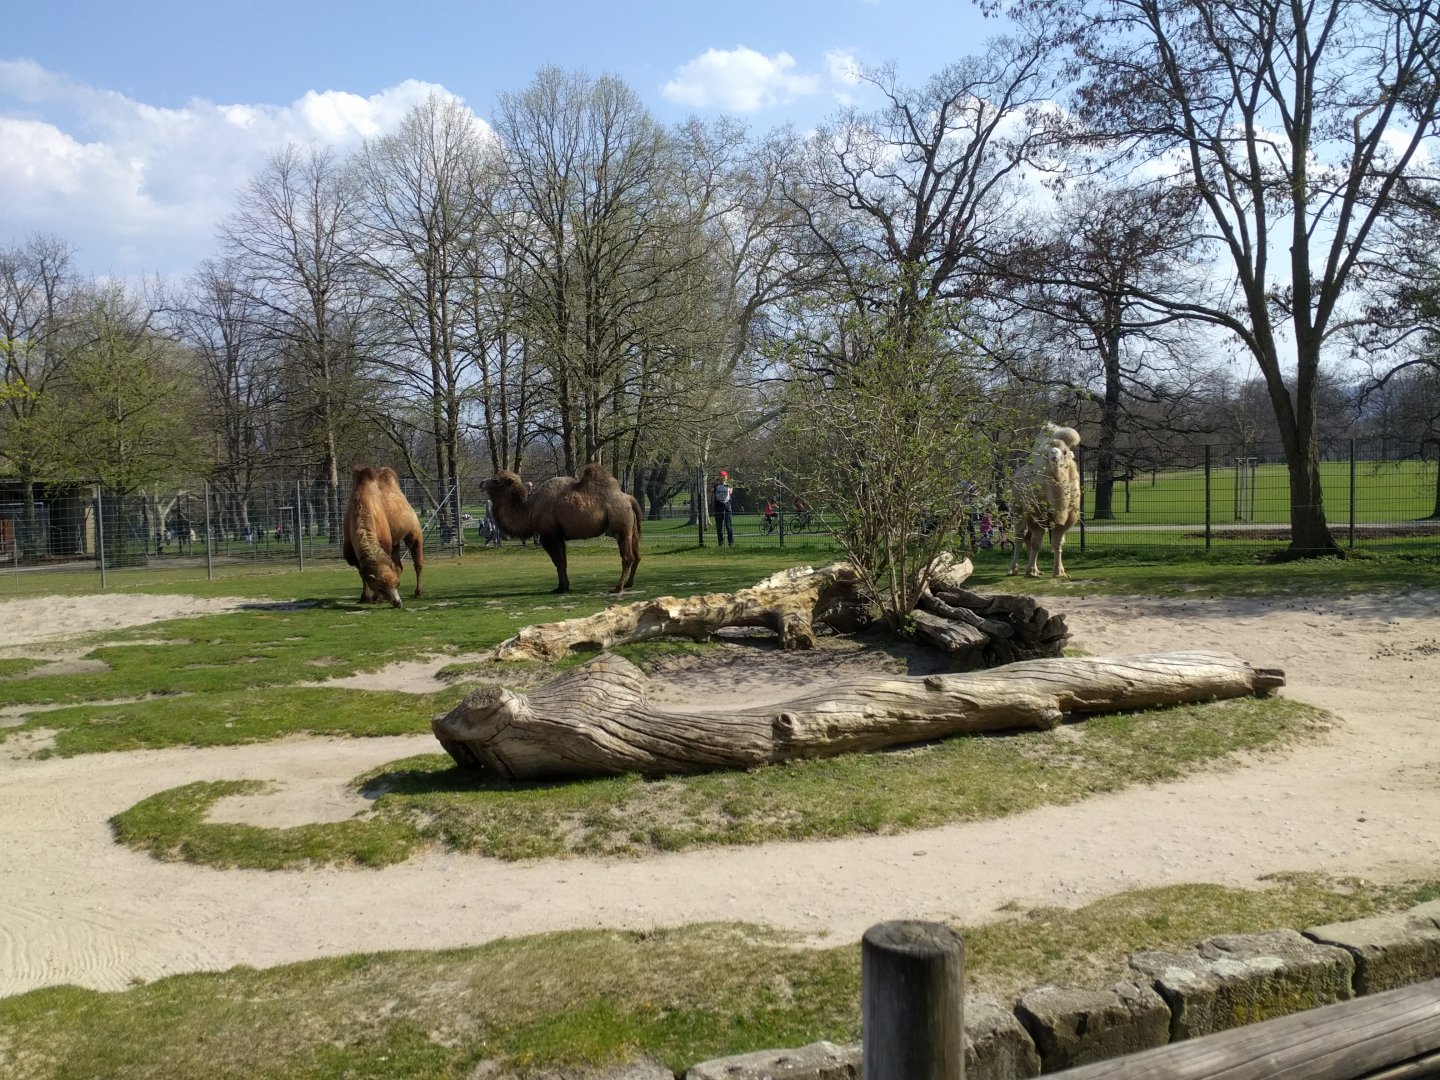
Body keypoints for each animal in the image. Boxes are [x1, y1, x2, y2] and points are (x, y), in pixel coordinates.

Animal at [342, 467, 423, 606]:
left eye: (397, 584)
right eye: (380, 587)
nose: (397, 603)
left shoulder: (385, 544)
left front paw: (377, 598)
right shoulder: (353, 554)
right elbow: (363, 574)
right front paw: (365, 597)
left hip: (414, 530)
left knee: (417, 561)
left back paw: (418, 592)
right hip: (395, 542)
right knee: (398, 566)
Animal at [482, 463, 642, 594]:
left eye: (497, 480)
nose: (481, 483)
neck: (530, 510)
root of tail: (629, 499)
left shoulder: (549, 535)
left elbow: (558, 561)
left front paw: (560, 588)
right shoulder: (559, 535)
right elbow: (563, 561)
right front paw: (564, 586)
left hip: (620, 524)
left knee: (627, 557)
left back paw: (617, 588)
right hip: (631, 528)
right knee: (637, 555)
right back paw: (629, 583)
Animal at [1008, 422, 1082, 579]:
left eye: (1065, 452)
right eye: (1046, 452)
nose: (1053, 454)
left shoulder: (1066, 519)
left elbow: (1057, 543)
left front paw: (1059, 571)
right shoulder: (1037, 514)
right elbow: (1037, 543)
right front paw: (1030, 572)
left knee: (1027, 538)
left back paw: (1037, 569)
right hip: (1018, 509)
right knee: (1019, 537)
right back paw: (1013, 569)